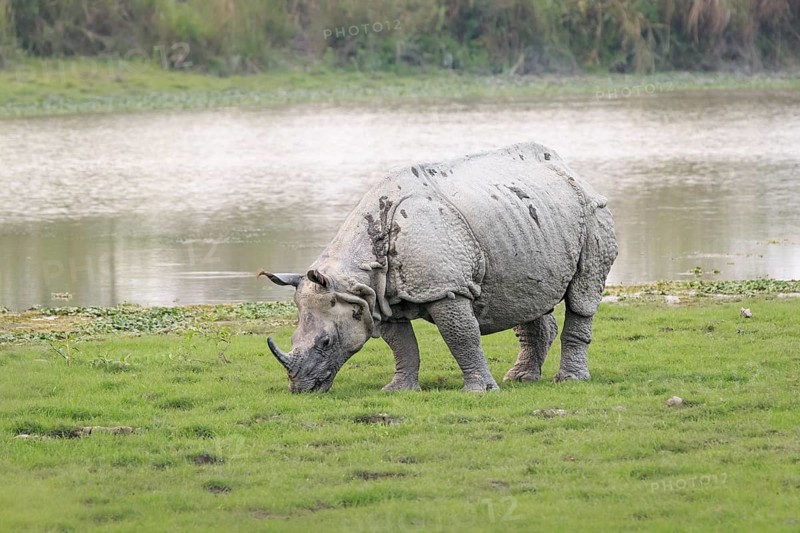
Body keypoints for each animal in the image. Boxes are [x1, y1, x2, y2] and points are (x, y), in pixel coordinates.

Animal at [260, 142, 618, 393]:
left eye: (325, 343)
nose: (301, 389)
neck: (355, 274)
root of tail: (568, 169)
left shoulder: (444, 288)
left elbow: (461, 336)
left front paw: (480, 392)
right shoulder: (378, 295)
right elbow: (401, 344)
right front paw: (397, 390)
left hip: (593, 212)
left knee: (582, 295)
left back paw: (569, 381)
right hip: (530, 220)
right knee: (526, 296)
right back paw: (520, 379)